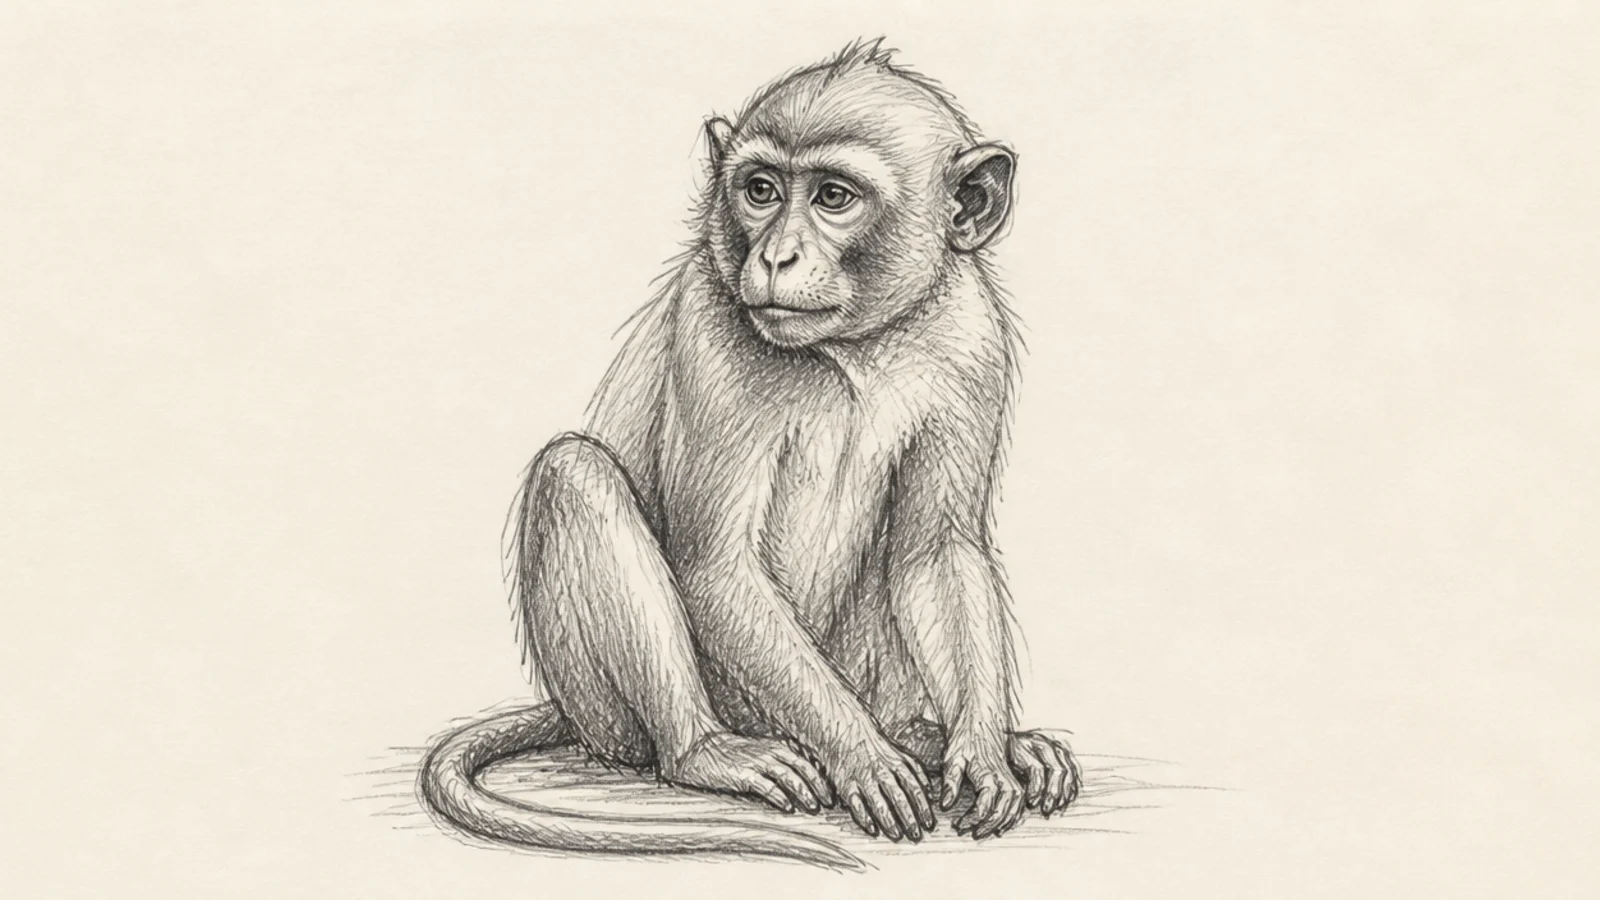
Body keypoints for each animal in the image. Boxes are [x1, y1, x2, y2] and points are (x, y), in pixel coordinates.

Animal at [420, 39, 1078, 870]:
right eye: (761, 190)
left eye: (833, 197)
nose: (775, 256)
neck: (852, 349)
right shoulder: (712, 323)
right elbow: (715, 564)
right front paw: (863, 755)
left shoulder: (973, 341)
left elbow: (936, 553)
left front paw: (984, 754)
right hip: (626, 714)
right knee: (575, 472)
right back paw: (704, 750)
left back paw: (941, 737)